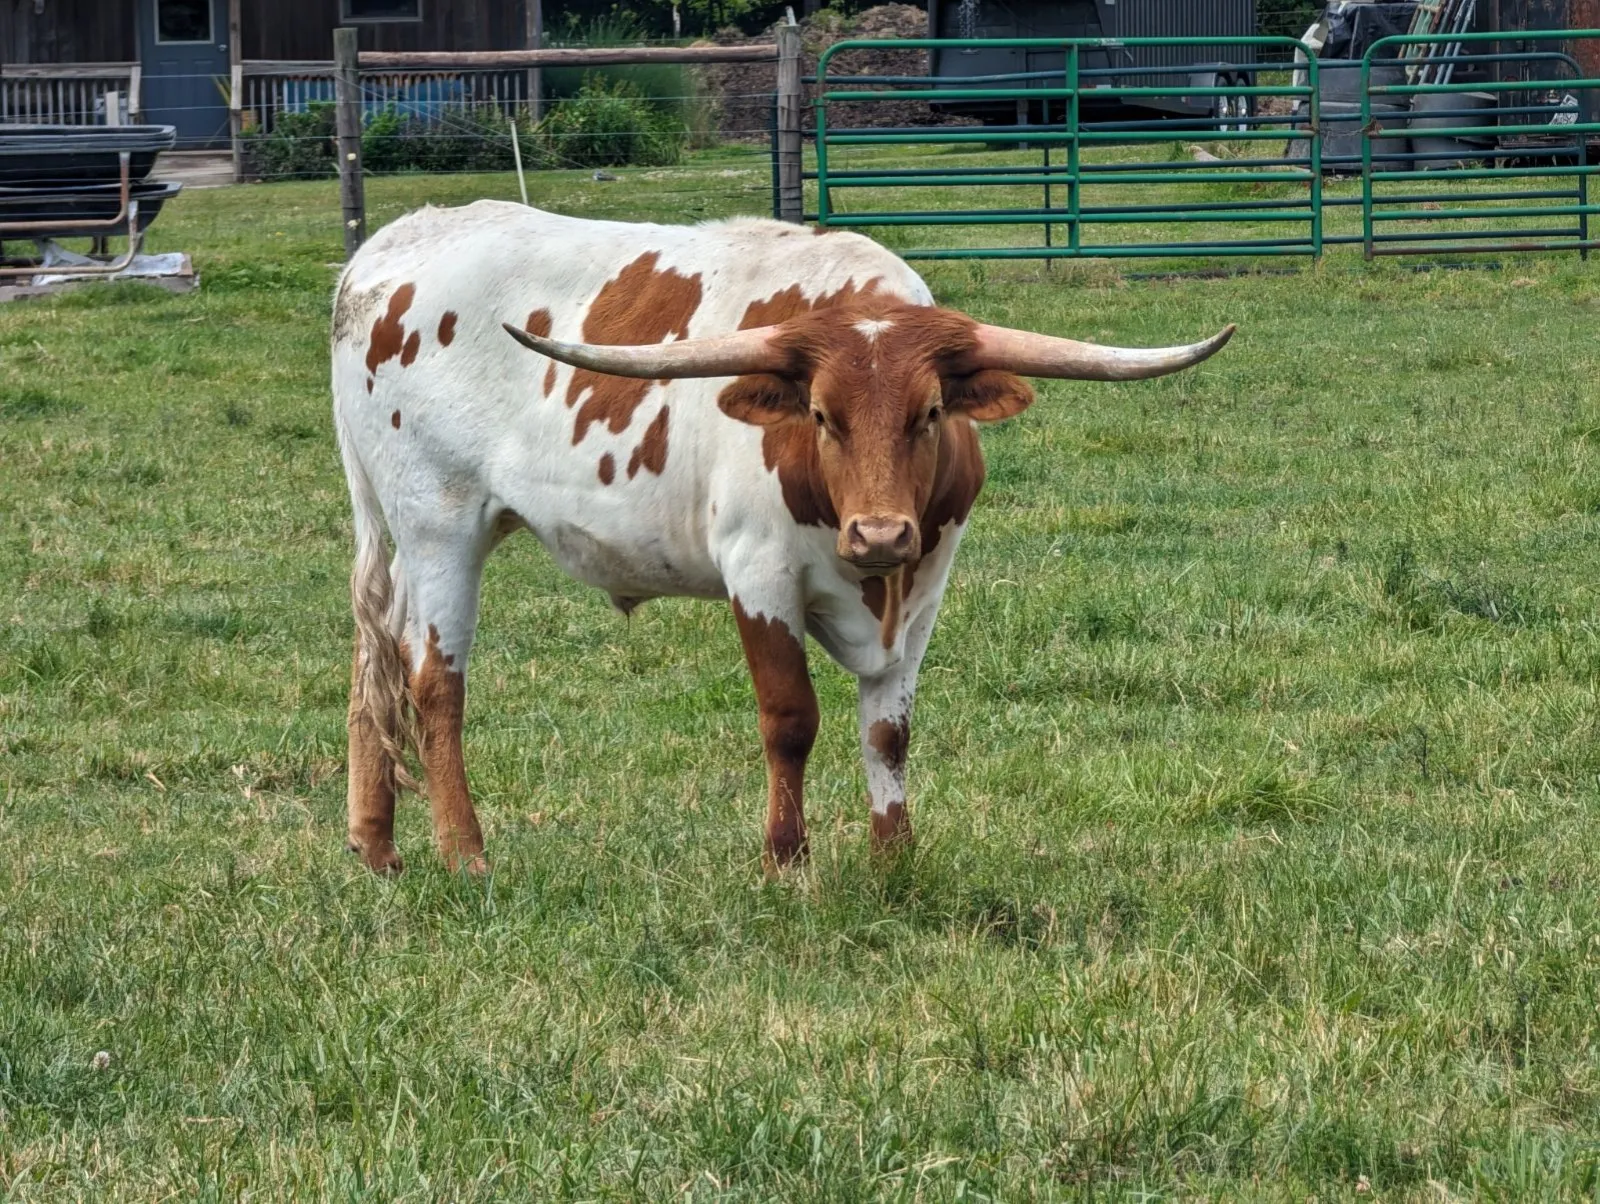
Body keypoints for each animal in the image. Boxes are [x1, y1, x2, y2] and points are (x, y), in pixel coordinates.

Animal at [332, 202, 1232, 874]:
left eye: (930, 413)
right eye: (823, 416)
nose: (879, 532)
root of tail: (385, 249)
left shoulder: (925, 586)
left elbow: (888, 730)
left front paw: (893, 860)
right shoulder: (759, 576)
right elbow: (790, 718)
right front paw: (786, 861)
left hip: (413, 533)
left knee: (374, 658)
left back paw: (377, 846)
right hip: (441, 523)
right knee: (434, 684)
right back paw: (465, 853)